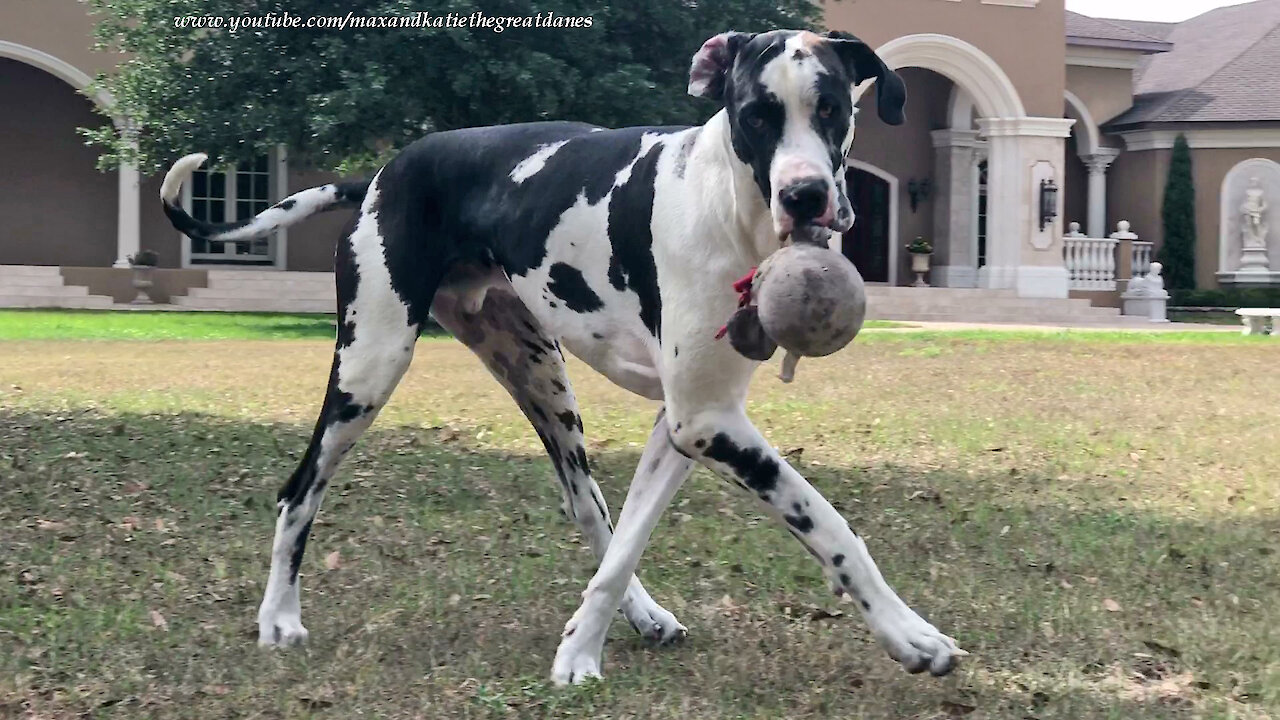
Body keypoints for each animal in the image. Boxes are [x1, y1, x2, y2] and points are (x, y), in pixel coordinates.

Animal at [157, 26, 962, 676]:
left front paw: (581, 651)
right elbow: (826, 522)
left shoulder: (688, 424)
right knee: (300, 490)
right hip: (369, 367)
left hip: (540, 377)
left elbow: (627, 541)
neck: (727, 204)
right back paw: (278, 619)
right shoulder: (708, 422)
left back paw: (644, 616)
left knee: (586, 507)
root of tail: (382, 174)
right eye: (755, 115)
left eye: (831, 108)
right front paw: (911, 636)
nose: (805, 196)